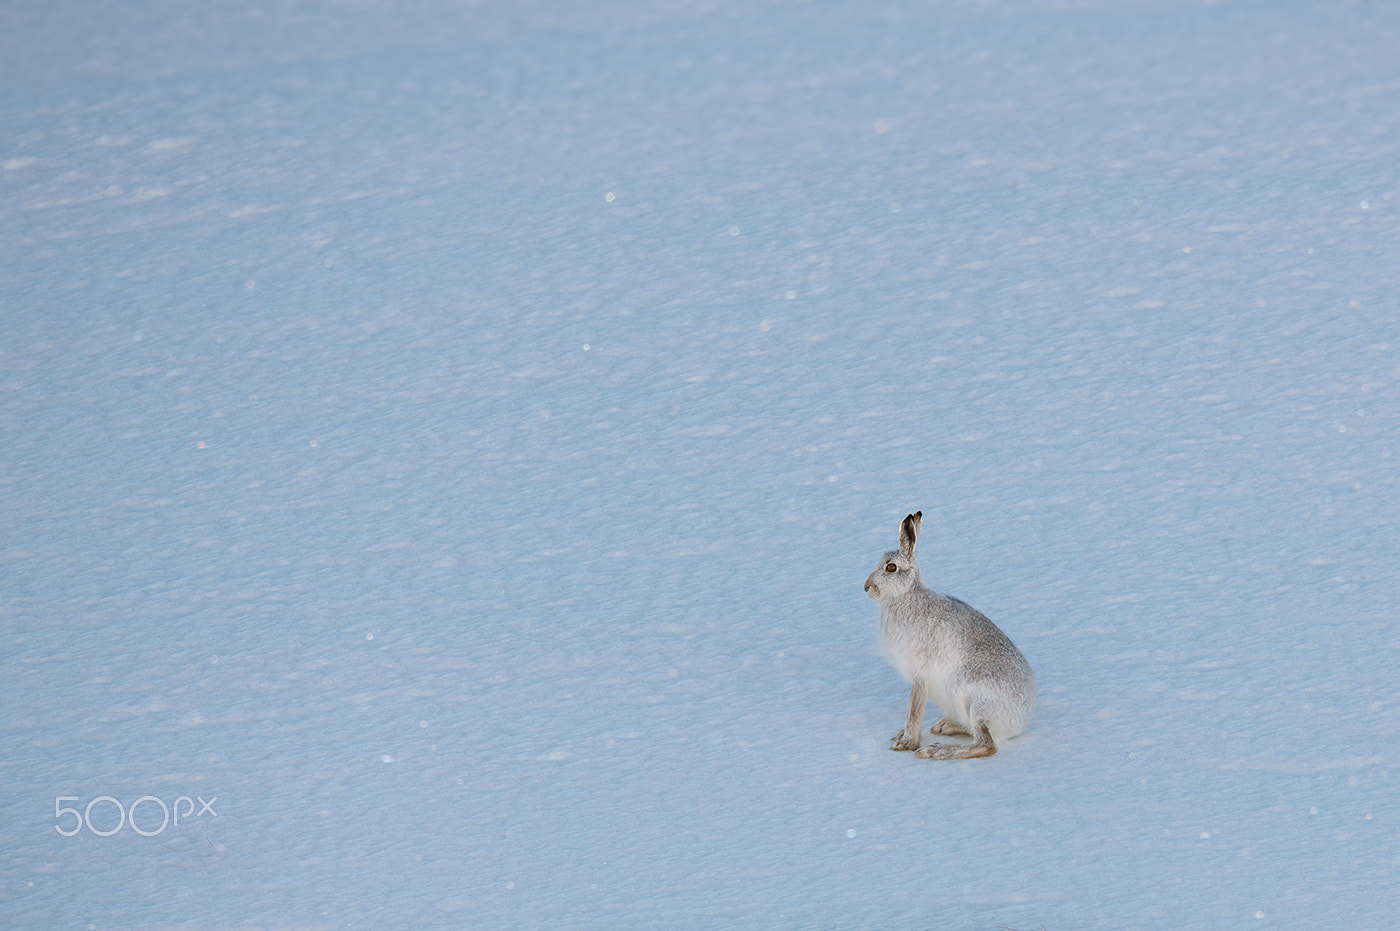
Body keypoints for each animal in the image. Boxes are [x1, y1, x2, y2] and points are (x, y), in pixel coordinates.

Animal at [863, 511, 1036, 759]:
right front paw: (901, 735)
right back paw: (945, 726)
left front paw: (906, 743)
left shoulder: (920, 673)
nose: (867, 587)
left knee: (986, 744)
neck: (906, 596)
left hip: (974, 701)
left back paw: (935, 751)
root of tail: (1021, 721)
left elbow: (913, 709)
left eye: (891, 568)